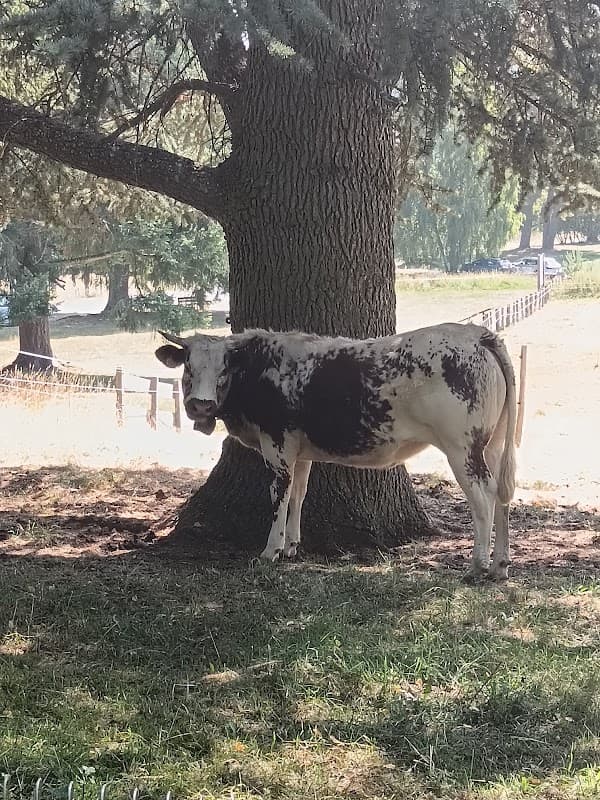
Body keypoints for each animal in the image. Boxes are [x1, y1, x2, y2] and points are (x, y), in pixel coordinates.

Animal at [155, 323, 517, 580]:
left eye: (224, 369)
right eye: (188, 367)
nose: (201, 405)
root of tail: (476, 334)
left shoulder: (277, 446)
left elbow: (279, 497)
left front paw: (271, 551)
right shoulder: (301, 452)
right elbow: (299, 494)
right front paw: (292, 546)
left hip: (462, 447)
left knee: (483, 497)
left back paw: (478, 565)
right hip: (493, 445)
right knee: (501, 494)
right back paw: (500, 565)